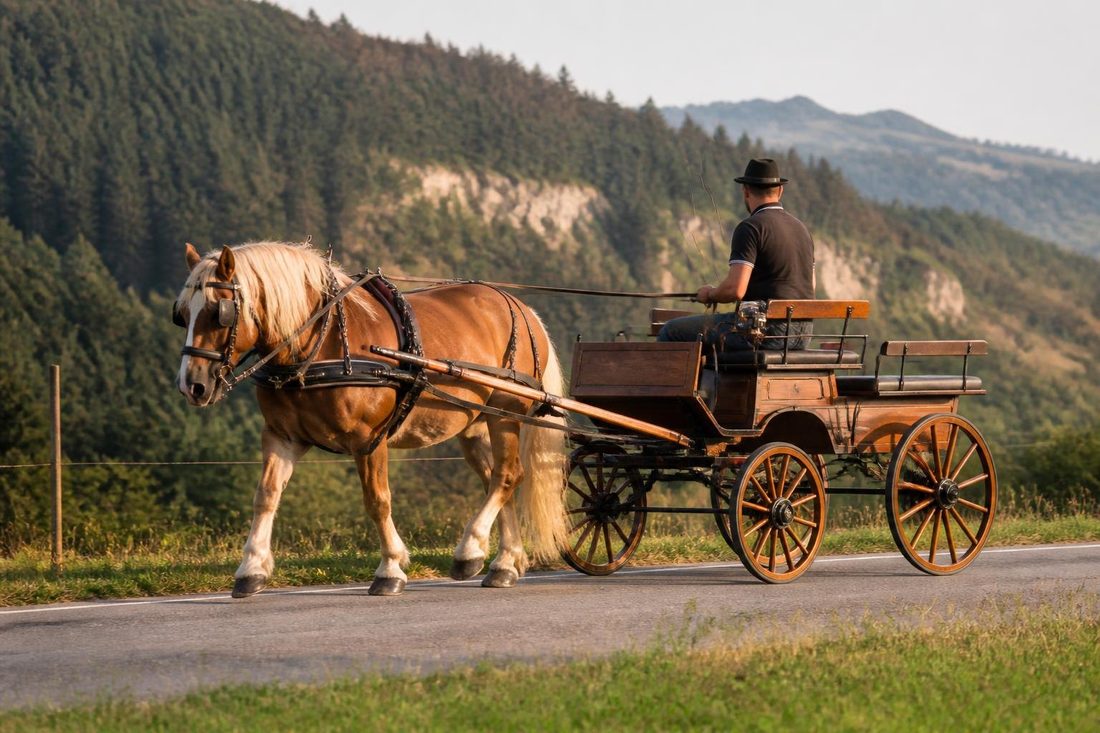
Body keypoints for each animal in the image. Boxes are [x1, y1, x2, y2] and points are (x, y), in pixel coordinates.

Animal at [173, 241, 569, 596]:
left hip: (506, 414)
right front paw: (251, 568)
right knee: (499, 479)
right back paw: (505, 562)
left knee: (507, 475)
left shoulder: (369, 440)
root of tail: (521, 307)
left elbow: (377, 500)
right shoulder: (281, 436)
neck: (321, 343)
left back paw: (471, 550)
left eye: (218, 312)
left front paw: (390, 569)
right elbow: (266, 496)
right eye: (182, 315)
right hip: (474, 423)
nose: (192, 385)